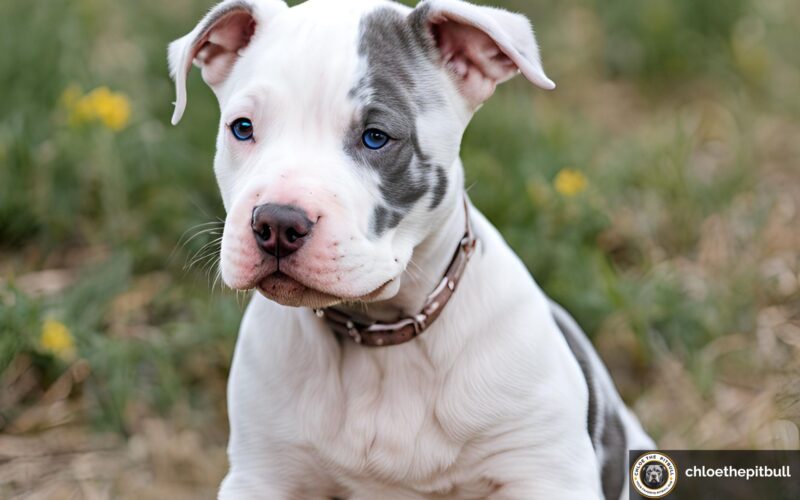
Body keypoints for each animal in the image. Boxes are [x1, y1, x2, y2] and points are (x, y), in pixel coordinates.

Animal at [167, 0, 648, 498]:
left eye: (376, 137)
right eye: (242, 128)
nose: (277, 223)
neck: (382, 337)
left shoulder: (544, 471)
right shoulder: (262, 475)